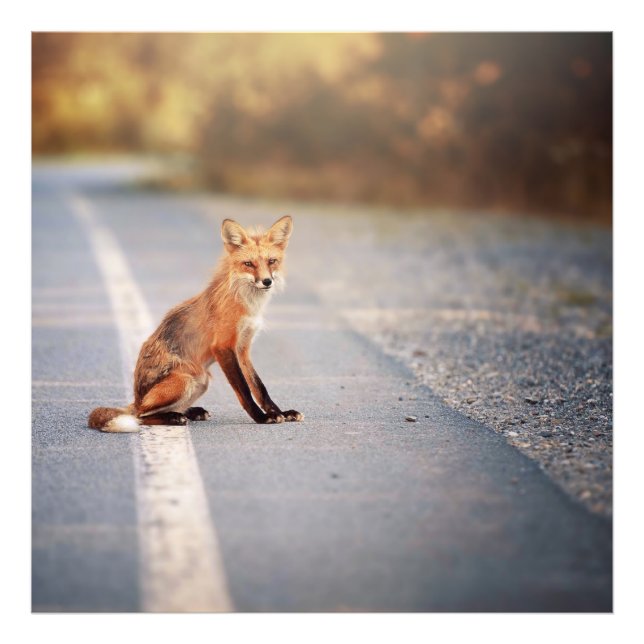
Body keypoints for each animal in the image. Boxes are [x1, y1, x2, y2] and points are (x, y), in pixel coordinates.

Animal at [88, 215, 303, 432]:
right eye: (248, 263)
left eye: (272, 261)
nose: (267, 281)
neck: (247, 303)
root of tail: (136, 398)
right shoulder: (223, 346)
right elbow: (244, 391)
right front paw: (261, 417)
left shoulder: (243, 348)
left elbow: (259, 387)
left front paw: (280, 412)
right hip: (187, 379)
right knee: (141, 415)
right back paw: (174, 418)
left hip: (201, 381)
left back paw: (190, 412)